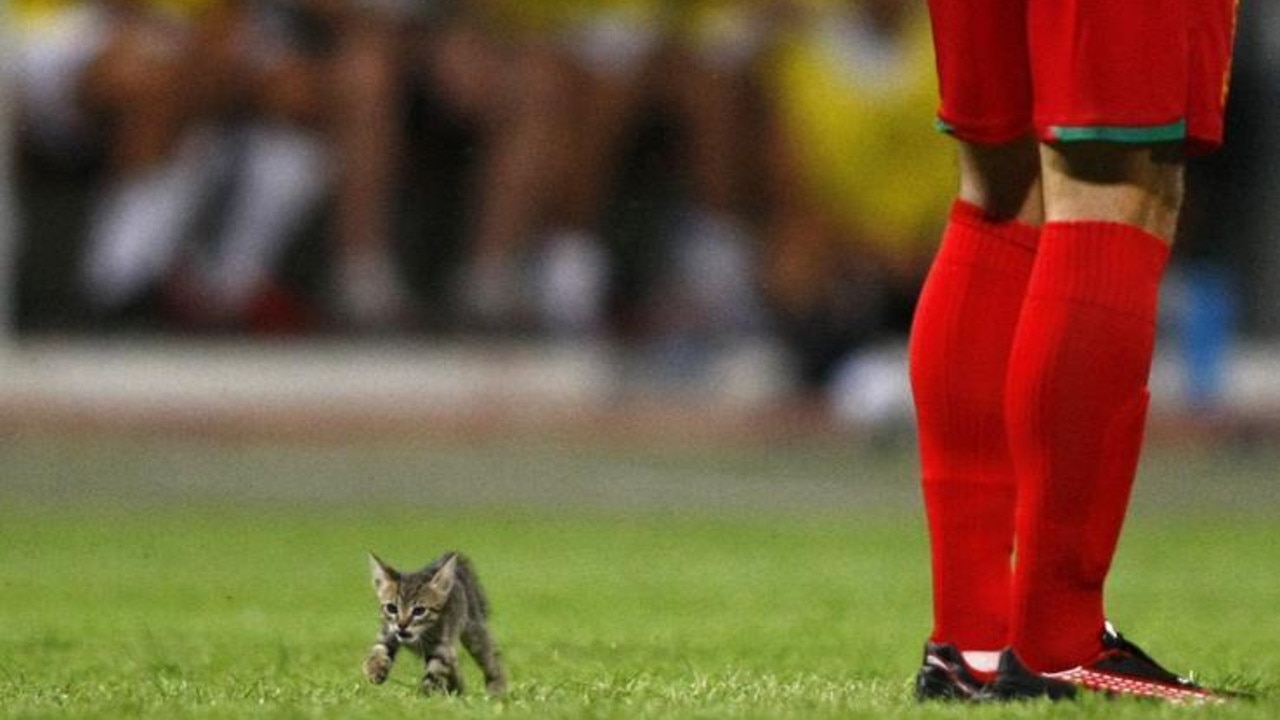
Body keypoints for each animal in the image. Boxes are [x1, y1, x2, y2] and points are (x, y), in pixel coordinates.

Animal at [363, 548, 506, 696]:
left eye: (419, 611)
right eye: (392, 608)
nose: (402, 625)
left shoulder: (440, 647)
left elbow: (434, 673)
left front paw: (424, 695)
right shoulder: (388, 632)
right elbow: (379, 649)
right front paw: (374, 668)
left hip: (473, 630)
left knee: (491, 657)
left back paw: (496, 688)